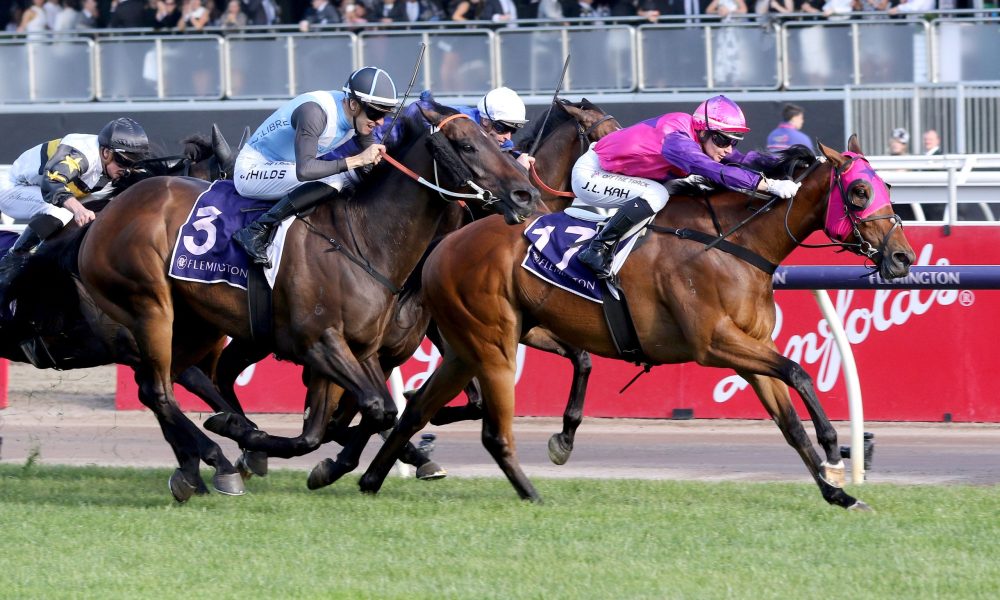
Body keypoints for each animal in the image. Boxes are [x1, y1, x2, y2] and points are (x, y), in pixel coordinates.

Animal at [76, 99, 539, 498]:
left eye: (494, 140)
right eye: (466, 144)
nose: (526, 195)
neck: (363, 240)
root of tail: (112, 208)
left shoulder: (360, 349)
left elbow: (353, 418)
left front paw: (325, 463)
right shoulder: (318, 342)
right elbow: (362, 411)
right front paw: (253, 439)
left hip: (196, 324)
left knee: (168, 382)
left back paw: (204, 463)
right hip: (151, 306)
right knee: (160, 390)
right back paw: (219, 458)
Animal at [359, 136, 915, 511]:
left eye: (887, 186)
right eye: (859, 191)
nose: (904, 258)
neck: (736, 245)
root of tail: (441, 247)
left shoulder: (749, 350)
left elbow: (790, 424)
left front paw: (838, 493)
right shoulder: (714, 343)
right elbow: (800, 372)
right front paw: (834, 451)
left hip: (464, 346)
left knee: (416, 410)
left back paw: (368, 480)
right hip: (493, 343)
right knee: (493, 431)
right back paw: (531, 492)